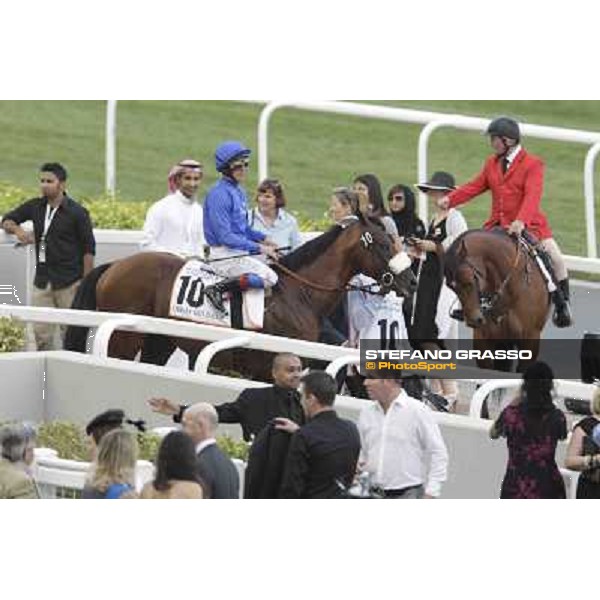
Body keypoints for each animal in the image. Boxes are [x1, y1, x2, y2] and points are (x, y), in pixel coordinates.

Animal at [63, 213, 414, 378]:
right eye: (385, 244)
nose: (410, 280)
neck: (299, 294)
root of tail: (115, 266)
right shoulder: (271, 368)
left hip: (160, 340)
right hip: (125, 338)